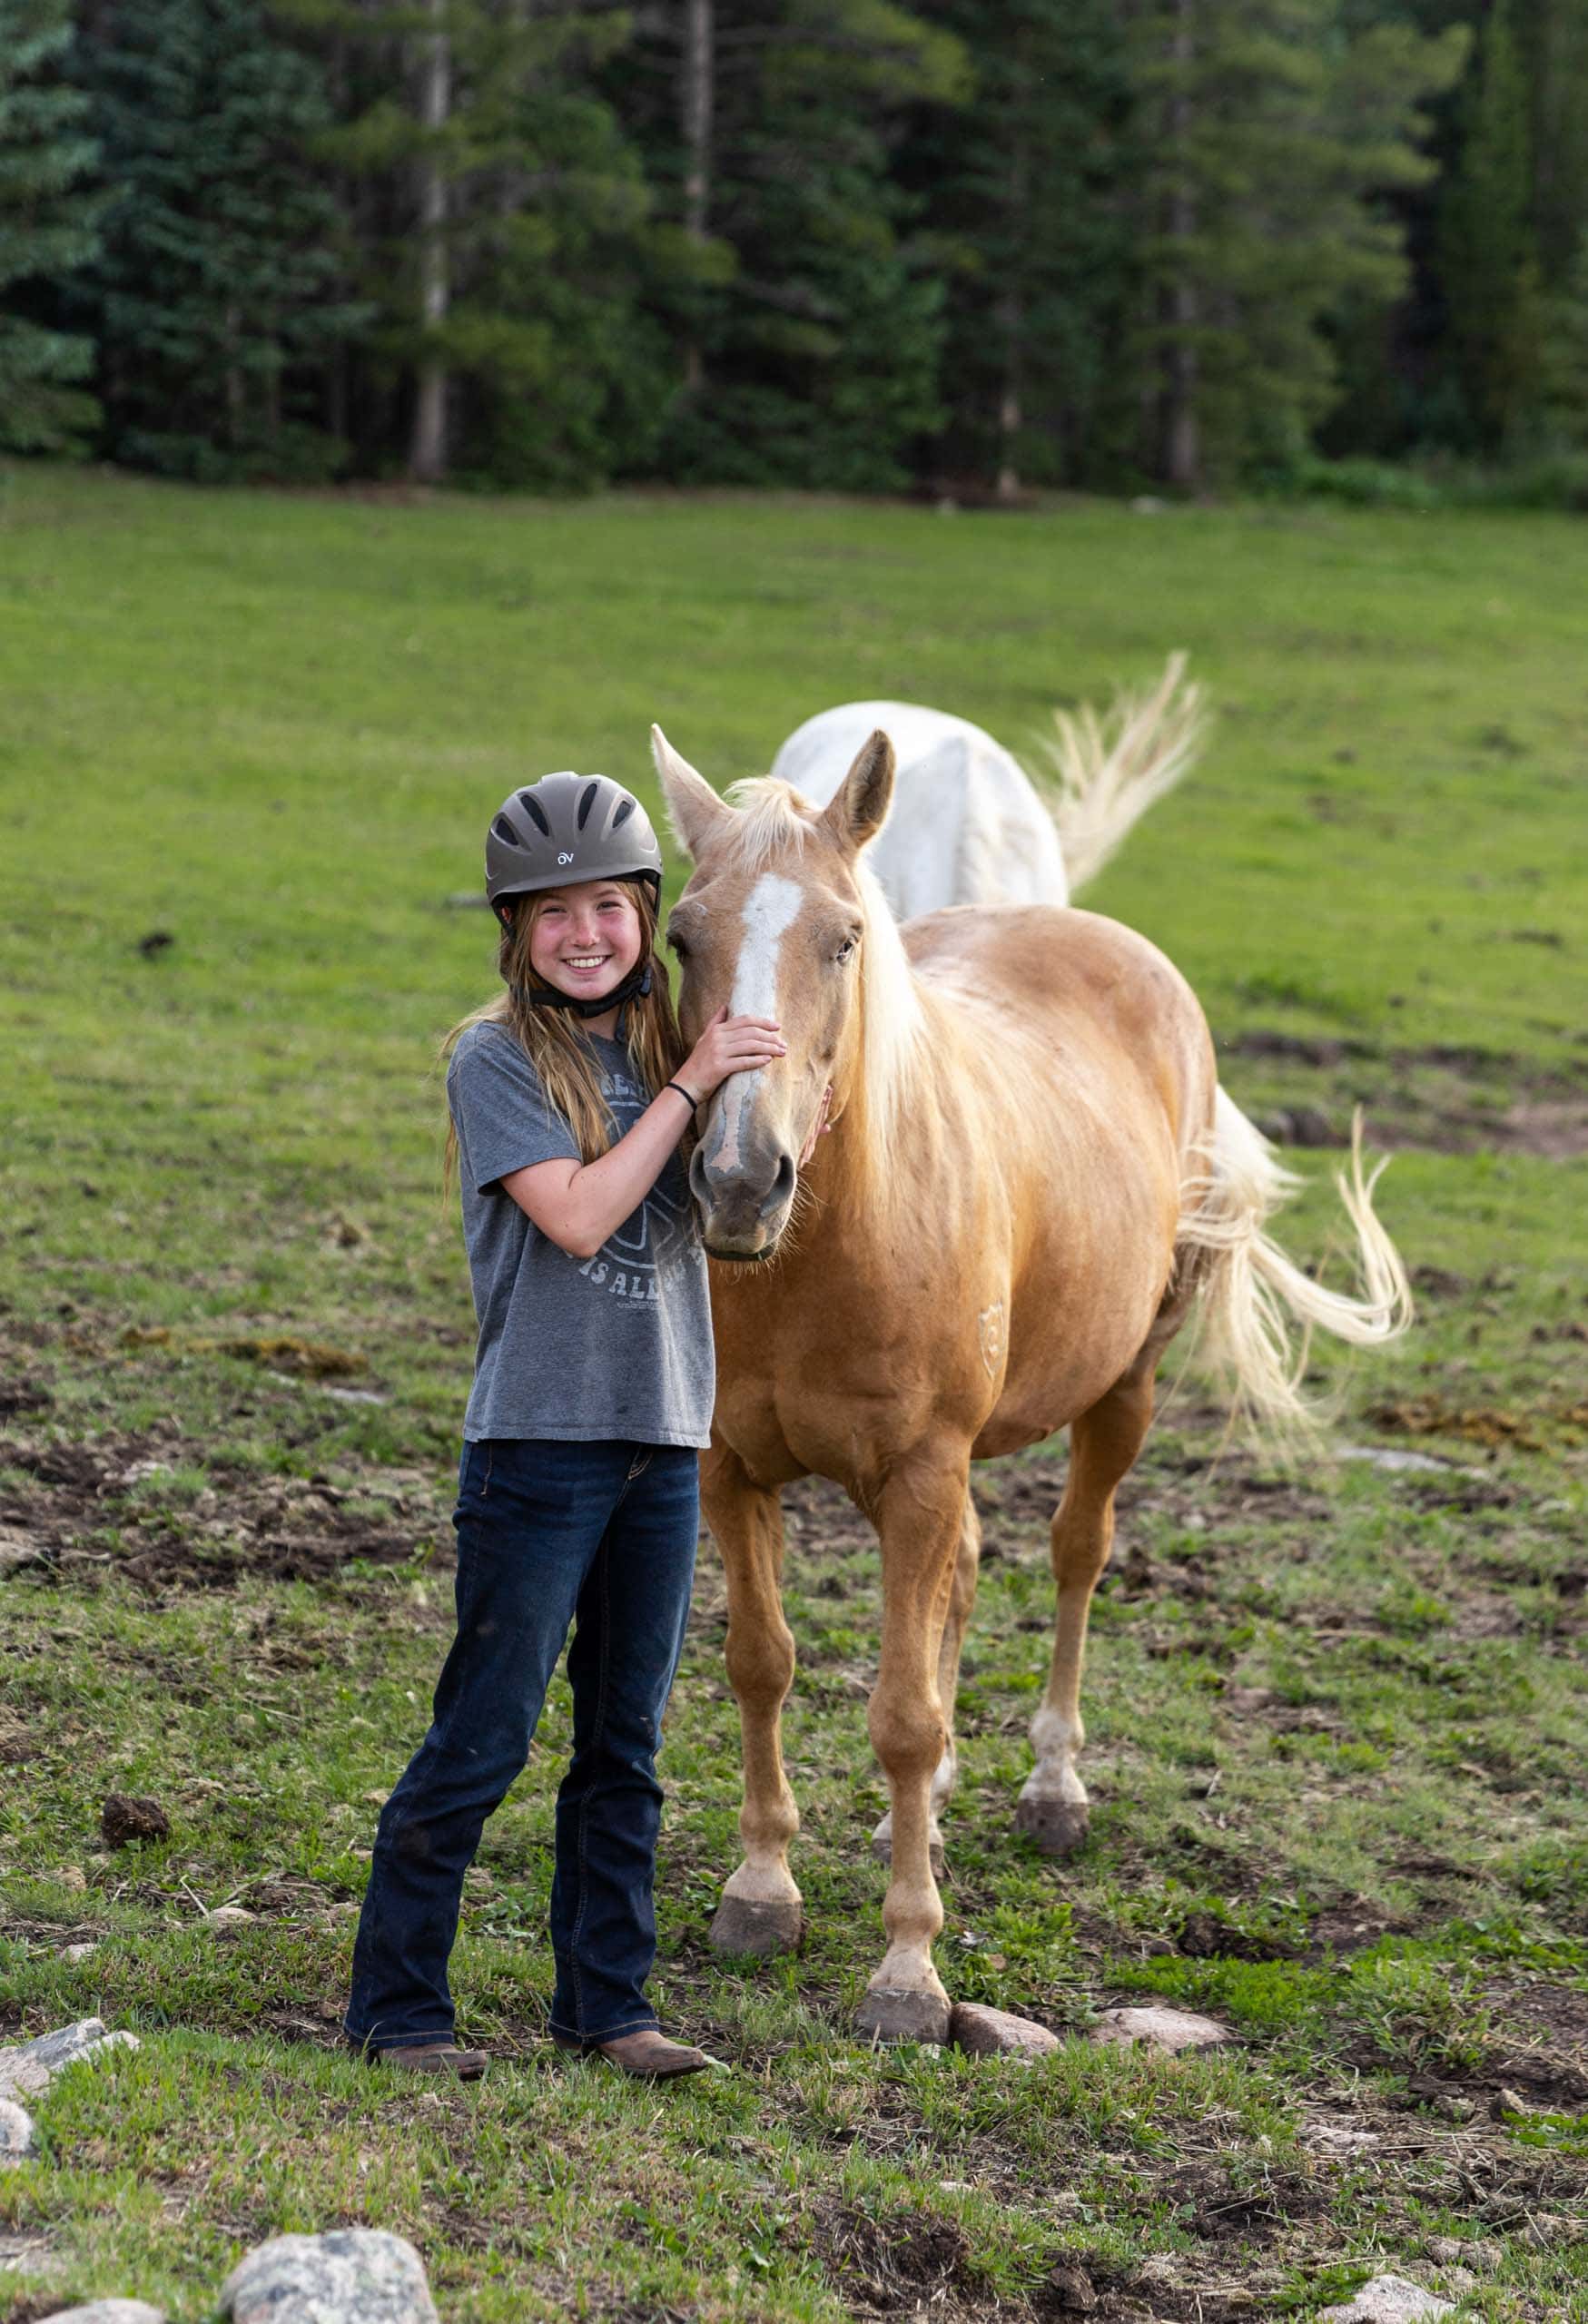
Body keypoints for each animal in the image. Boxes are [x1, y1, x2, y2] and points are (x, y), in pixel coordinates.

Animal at [650, 723, 1411, 2045]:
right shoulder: (734, 1469)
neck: (830, 1246)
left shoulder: (919, 1472)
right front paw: (762, 1891)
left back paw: (1053, 1786)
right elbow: (763, 1664)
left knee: (1075, 1556)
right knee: (962, 1579)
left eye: (842, 938)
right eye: (684, 937)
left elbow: (902, 1717)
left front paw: (908, 1969)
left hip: (1123, 1392)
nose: (741, 1182)